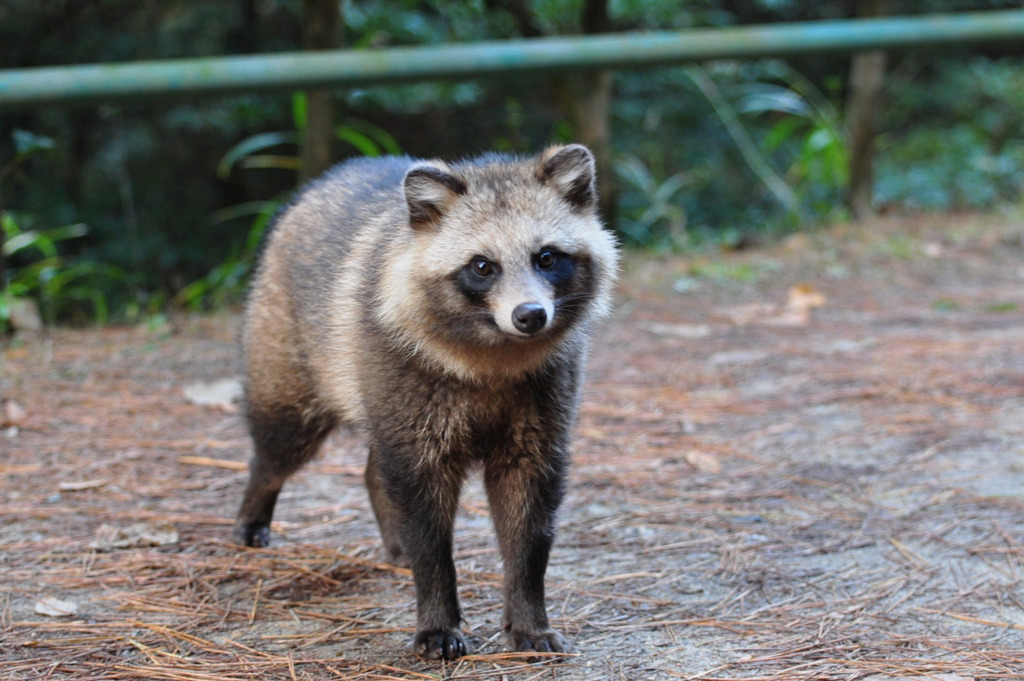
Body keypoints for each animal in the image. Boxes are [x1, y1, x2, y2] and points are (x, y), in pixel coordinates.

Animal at [232, 143, 614, 659]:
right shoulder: (409, 390)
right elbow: (426, 528)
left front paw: (528, 614)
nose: (531, 315)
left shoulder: (540, 417)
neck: (496, 354)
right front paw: (436, 616)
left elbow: (528, 522)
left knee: (374, 470)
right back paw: (255, 506)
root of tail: (324, 180)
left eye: (548, 257)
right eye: (482, 266)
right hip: (294, 356)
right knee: (278, 445)